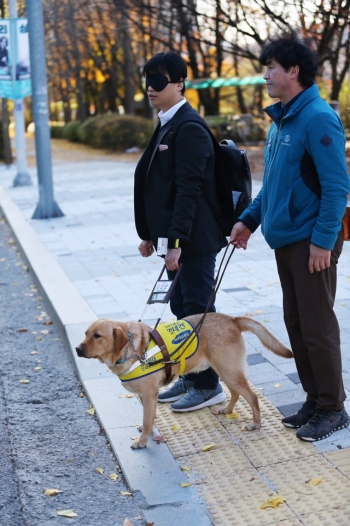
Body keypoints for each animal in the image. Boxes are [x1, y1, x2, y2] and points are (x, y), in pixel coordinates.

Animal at [76, 314, 292, 450]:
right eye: (85, 333)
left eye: (97, 335)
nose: (77, 349)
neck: (131, 350)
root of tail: (232, 319)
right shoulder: (146, 396)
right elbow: (149, 418)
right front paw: (148, 430)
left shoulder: (149, 394)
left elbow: (147, 420)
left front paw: (142, 440)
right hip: (223, 370)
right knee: (236, 393)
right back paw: (228, 410)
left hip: (229, 371)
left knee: (252, 396)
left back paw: (256, 423)